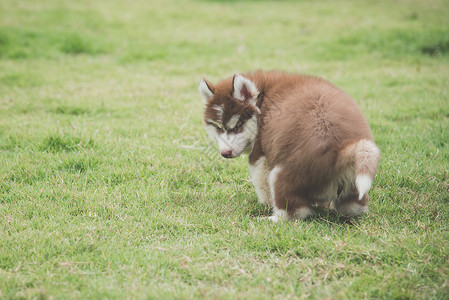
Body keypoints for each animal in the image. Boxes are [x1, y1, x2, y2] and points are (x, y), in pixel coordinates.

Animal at [199, 69, 378, 220]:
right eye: (219, 128)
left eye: (236, 126)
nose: (225, 153)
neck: (263, 98)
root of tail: (339, 149)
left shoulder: (261, 154)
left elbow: (260, 181)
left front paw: (265, 203)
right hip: (352, 184)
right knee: (354, 206)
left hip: (282, 174)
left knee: (295, 211)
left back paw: (271, 218)